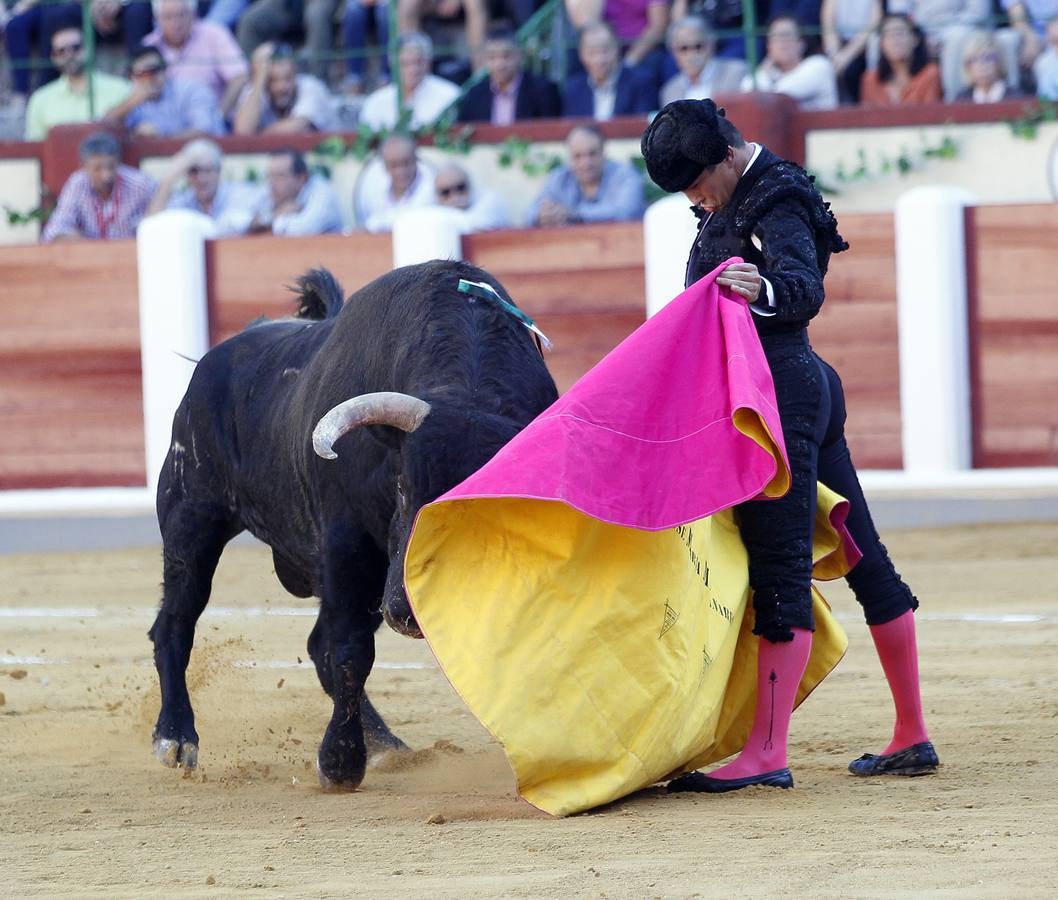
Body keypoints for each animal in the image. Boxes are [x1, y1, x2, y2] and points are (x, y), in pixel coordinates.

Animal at [152, 259, 562, 786]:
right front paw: (340, 763)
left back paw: (386, 743)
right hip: (191, 515)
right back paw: (176, 737)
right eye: (404, 488)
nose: (408, 613)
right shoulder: (347, 543)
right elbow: (349, 650)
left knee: (315, 643)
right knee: (176, 622)